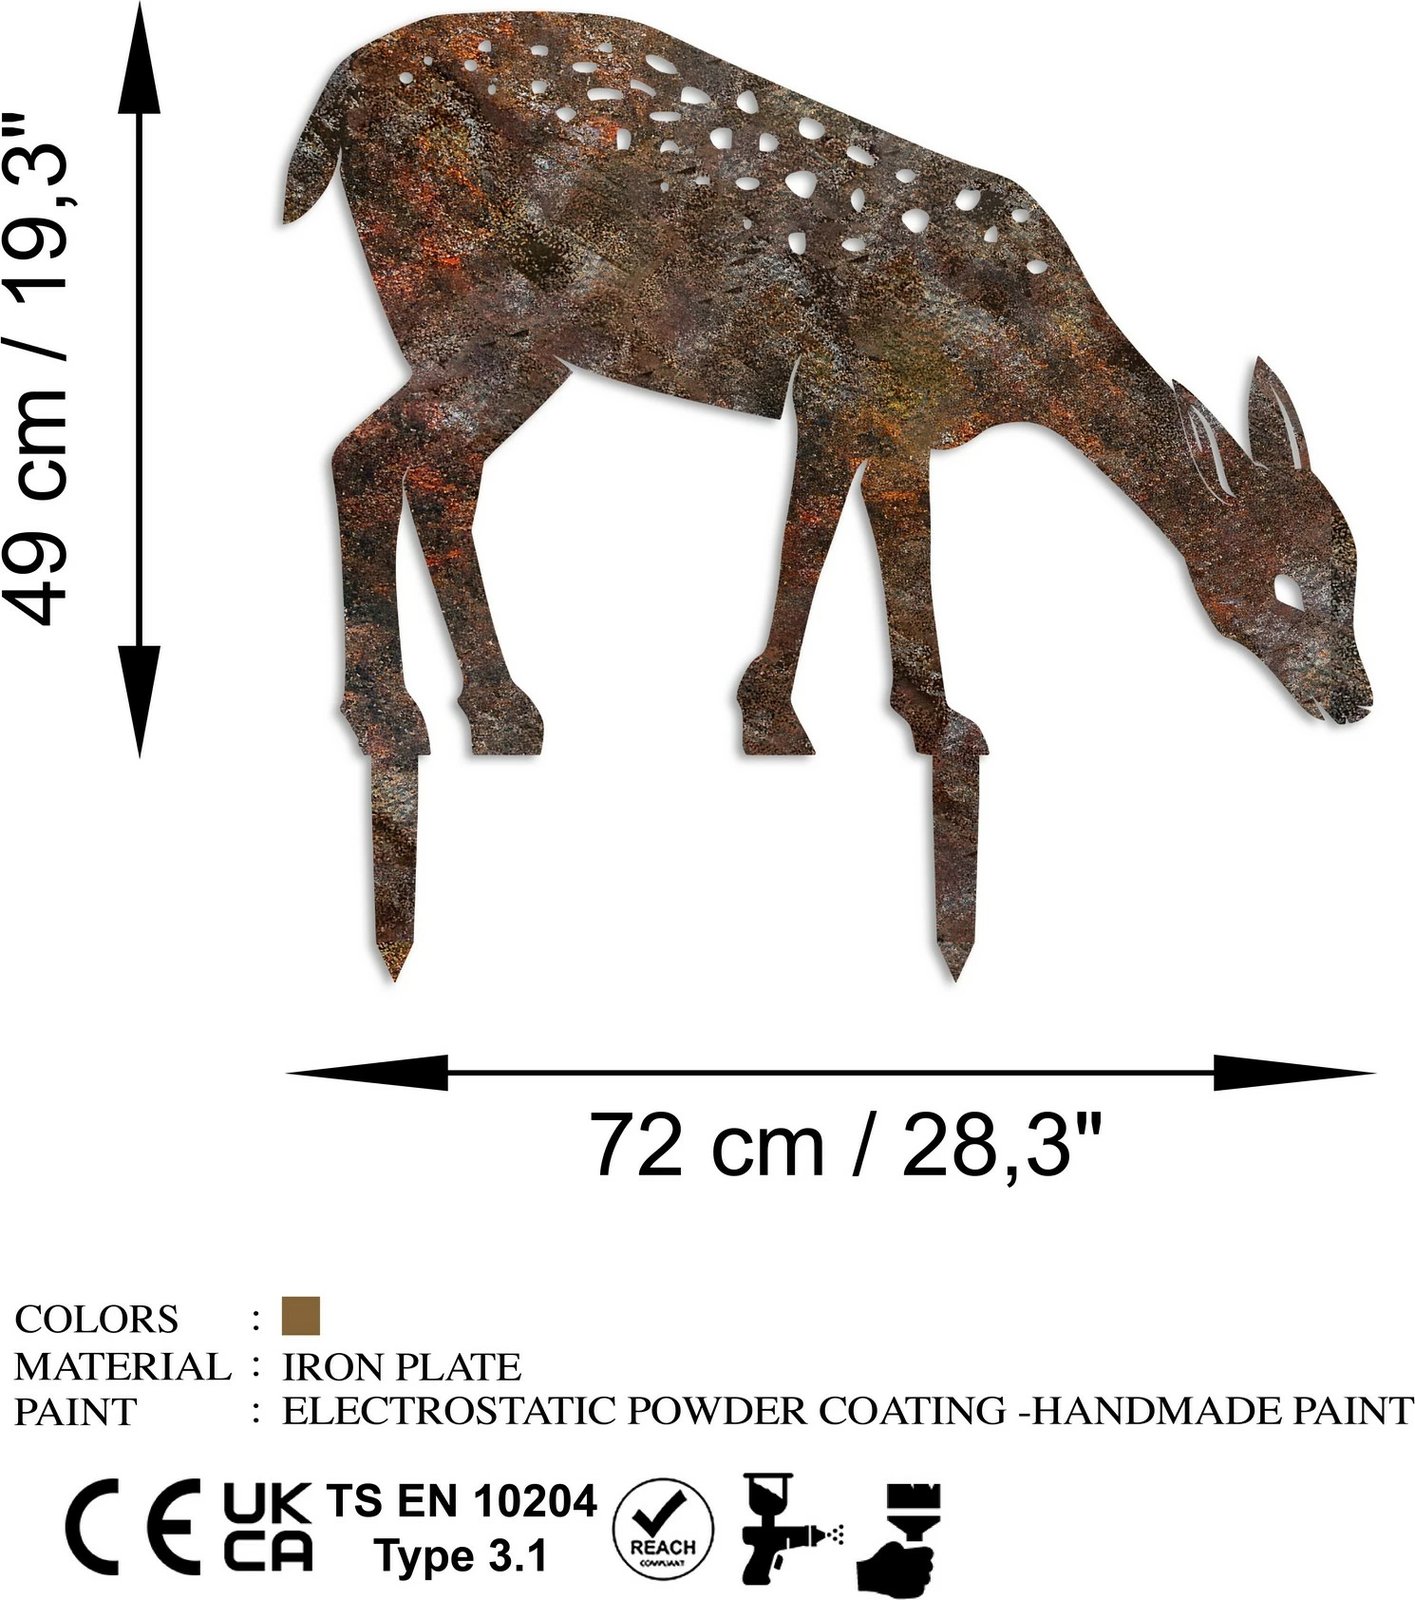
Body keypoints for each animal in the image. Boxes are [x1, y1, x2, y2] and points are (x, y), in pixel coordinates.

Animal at [284, 10, 1372, 980]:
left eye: (1353, 576)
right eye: (1287, 583)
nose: (1356, 701)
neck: (1021, 349)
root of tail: (331, 106)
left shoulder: (903, 424)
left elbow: (898, 550)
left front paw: (931, 721)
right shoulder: (842, 388)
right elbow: (809, 538)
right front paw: (773, 720)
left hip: (497, 337)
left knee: (433, 473)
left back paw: (497, 714)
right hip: (482, 311)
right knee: (367, 455)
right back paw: (397, 719)